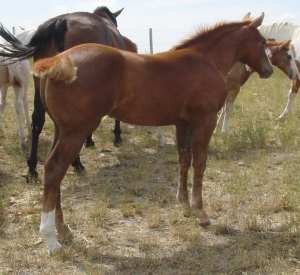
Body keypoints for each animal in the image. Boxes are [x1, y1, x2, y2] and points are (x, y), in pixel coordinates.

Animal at [0, 7, 136, 179]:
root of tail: (59, 22)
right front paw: (116, 136)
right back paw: (76, 163)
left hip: (41, 82)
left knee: (38, 119)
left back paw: (32, 168)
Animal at [31, 14, 274, 253]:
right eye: (262, 42)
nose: (269, 70)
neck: (205, 60)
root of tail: (57, 60)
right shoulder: (206, 120)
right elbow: (200, 162)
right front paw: (200, 212)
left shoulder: (182, 123)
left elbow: (184, 159)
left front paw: (184, 204)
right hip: (76, 131)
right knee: (54, 170)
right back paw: (51, 240)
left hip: (62, 130)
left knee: (55, 174)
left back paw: (64, 230)